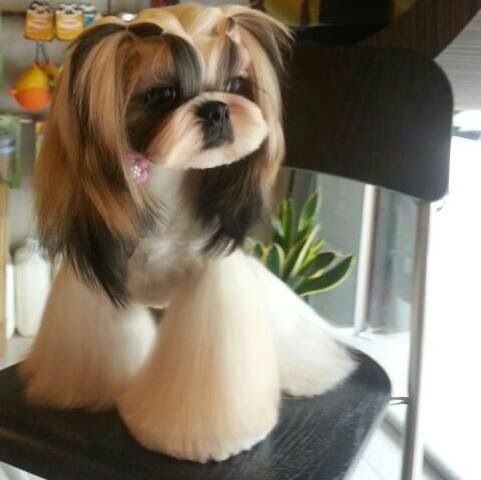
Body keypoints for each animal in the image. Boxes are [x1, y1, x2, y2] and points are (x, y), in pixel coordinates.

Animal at [22, 2, 354, 462]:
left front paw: (203, 439)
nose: (217, 107)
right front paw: (89, 392)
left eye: (236, 84)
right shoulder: (99, 284)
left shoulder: (213, 285)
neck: (165, 187)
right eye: (162, 95)